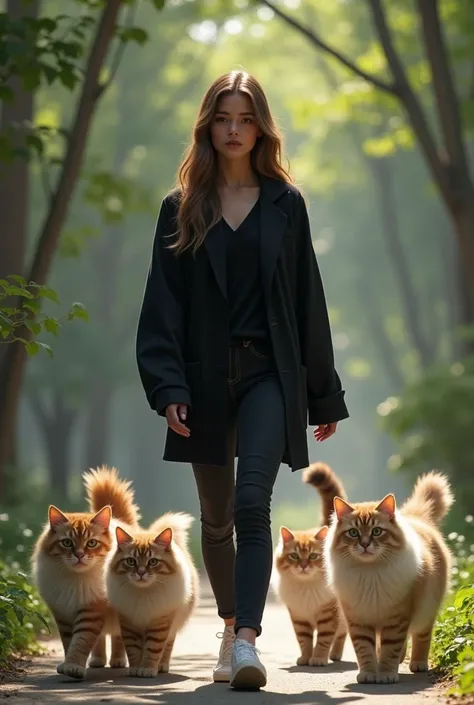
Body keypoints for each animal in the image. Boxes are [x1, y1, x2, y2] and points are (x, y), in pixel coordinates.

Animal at [30, 464, 139, 680]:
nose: (79, 555)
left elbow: (81, 641)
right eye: (67, 543)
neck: (76, 580)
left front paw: (74, 667)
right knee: (101, 641)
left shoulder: (91, 610)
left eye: (91, 543)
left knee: (117, 637)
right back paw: (97, 661)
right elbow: (69, 642)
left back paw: (118, 661)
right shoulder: (63, 614)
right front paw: (68, 665)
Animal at [105, 512, 198, 676]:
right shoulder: (129, 624)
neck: (143, 593)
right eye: (131, 561)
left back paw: (161, 666)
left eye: (153, 562)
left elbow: (153, 649)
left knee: (167, 647)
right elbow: (133, 650)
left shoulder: (159, 622)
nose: (141, 573)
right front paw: (135, 669)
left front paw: (147, 669)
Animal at [272, 462, 346, 664]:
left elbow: (323, 640)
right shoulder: (299, 618)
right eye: (294, 556)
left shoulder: (329, 617)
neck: (306, 588)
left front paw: (319, 659)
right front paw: (305, 658)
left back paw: (335, 655)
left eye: (313, 556)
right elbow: (304, 641)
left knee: (342, 635)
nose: (304, 566)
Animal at [324, 472, 454, 680]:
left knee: (421, 636)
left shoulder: (396, 618)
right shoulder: (359, 620)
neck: (370, 573)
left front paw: (385, 674)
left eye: (377, 531)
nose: (365, 544)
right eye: (353, 533)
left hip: (427, 610)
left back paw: (418, 664)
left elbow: (390, 649)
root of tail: (416, 518)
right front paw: (369, 673)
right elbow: (365, 650)